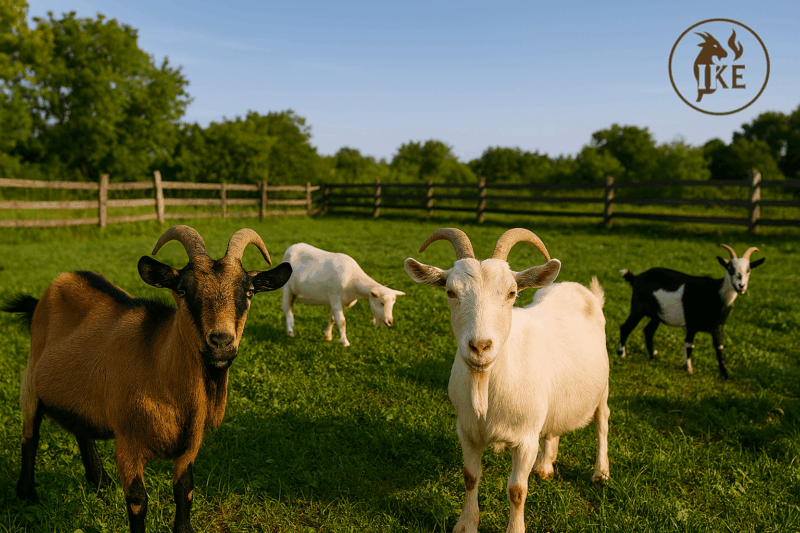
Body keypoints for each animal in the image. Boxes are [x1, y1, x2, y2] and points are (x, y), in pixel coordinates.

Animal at [2, 225, 292, 533]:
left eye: (249, 292)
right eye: (182, 290)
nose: (221, 342)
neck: (159, 370)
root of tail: (55, 285)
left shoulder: (190, 444)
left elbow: (185, 490)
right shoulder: (127, 443)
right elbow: (138, 501)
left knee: (81, 428)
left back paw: (100, 482)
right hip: (30, 380)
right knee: (30, 435)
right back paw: (27, 494)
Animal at [404, 228, 610, 533]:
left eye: (512, 292)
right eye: (450, 292)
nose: (480, 347)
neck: (486, 387)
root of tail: (583, 290)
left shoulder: (525, 440)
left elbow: (517, 490)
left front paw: (515, 528)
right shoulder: (466, 430)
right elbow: (470, 477)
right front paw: (466, 524)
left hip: (603, 384)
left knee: (602, 421)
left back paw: (601, 472)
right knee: (553, 425)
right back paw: (545, 466)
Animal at [618, 244, 765, 378]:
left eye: (749, 270)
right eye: (730, 269)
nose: (741, 286)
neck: (715, 293)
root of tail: (636, 277)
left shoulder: (718, 326)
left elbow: (719, 348)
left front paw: (726, 374)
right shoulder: (691, 323)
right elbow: (689, 345)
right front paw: (688, 368)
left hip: (657, 314)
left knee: (648, 331)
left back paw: (653, 355)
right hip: (638, 307)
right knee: (626, 327)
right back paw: (621, 354)